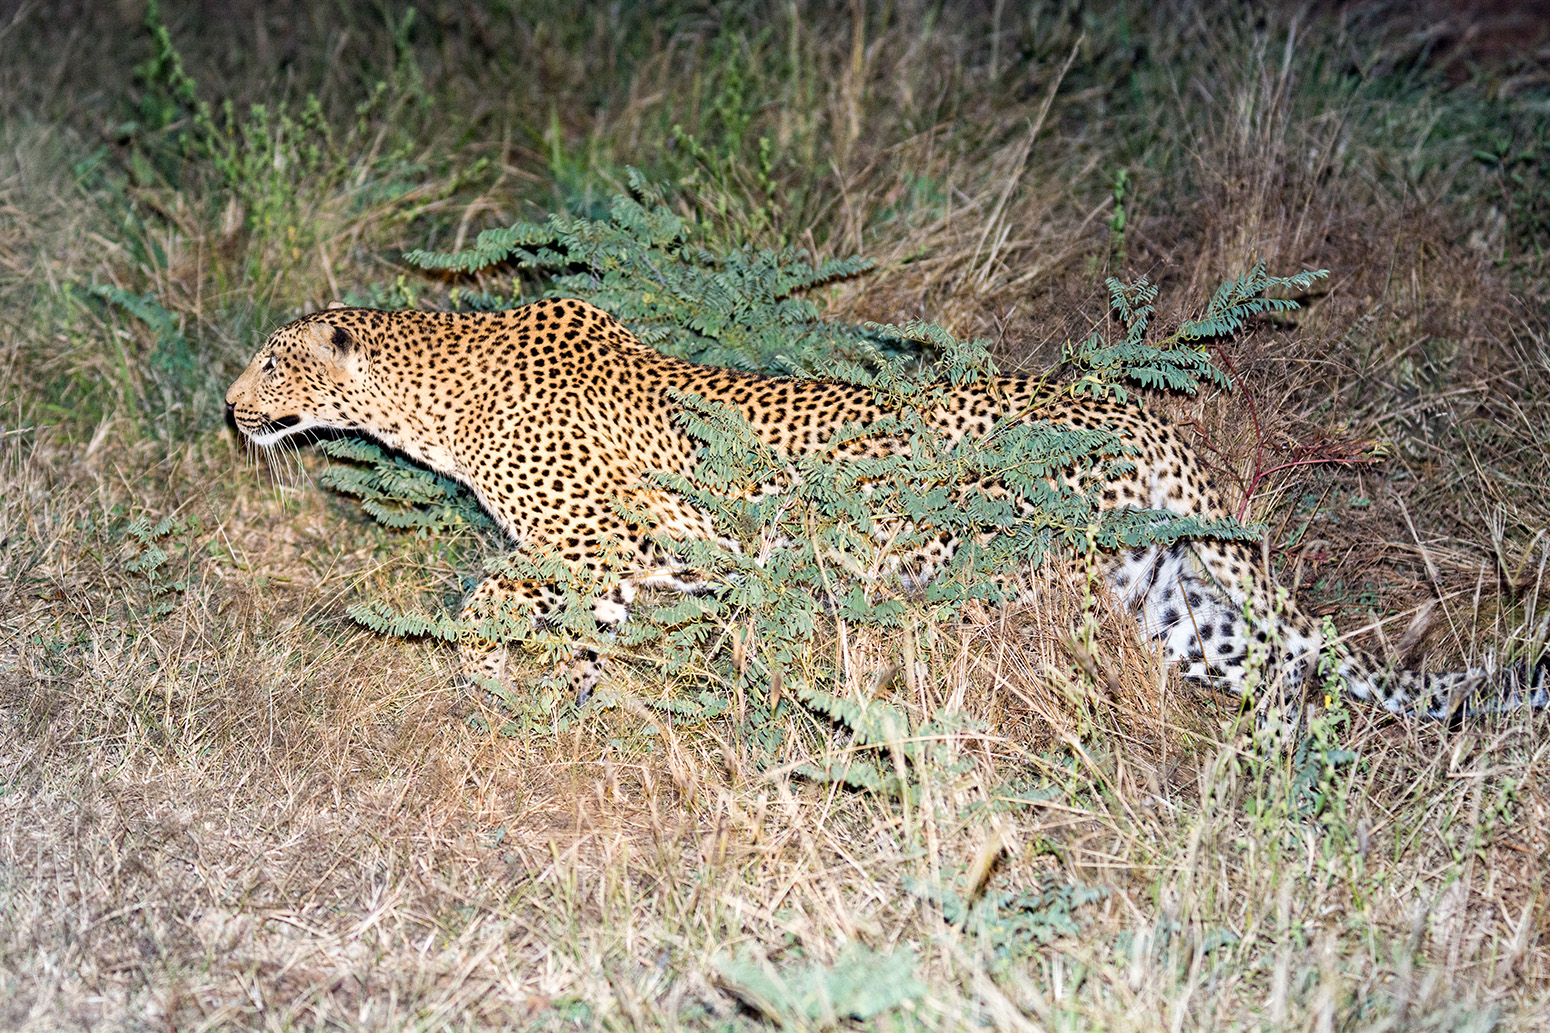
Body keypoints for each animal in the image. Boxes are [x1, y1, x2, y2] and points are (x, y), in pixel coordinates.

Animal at [226, 297, 1548, 720]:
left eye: (270, 362)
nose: (230, 409)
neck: (432, 399)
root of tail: (1150, 423)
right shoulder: (628, 561)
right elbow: (566, 621)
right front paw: (552, 695)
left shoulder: (613, 533)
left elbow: (497, 585)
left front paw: (493, 675)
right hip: (1168, 591)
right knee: (1278, 668)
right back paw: (1266, 780)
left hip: (1038, 581)